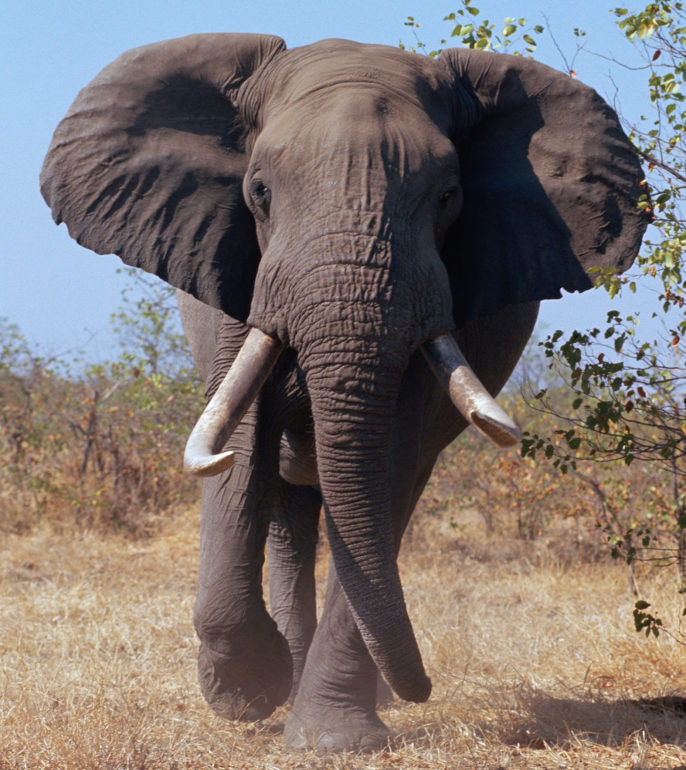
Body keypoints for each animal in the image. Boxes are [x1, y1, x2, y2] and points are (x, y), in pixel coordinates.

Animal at [40, 34, 647, 751]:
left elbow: (388, 459)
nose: (424, 688)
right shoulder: (234, 276)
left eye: (449, 195)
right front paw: (252, 691)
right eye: (259, 191)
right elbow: (239, 445)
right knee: (291, 511)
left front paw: (332, 737)